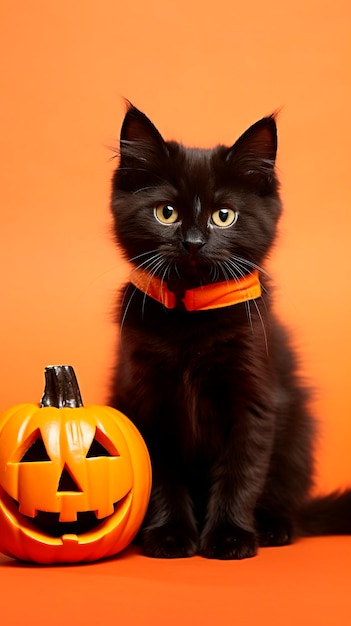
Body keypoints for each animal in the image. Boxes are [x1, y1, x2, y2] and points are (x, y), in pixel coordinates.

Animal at [109, 105, 351, 560]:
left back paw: (273, 527)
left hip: (297, 434)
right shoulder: (146, 400)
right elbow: (162, 473)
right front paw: (170, 535)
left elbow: (242, 470)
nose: (193, 242)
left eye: (224, 215)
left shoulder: (253, 397)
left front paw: (229, 537)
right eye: (166, 212)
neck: (190, 317)